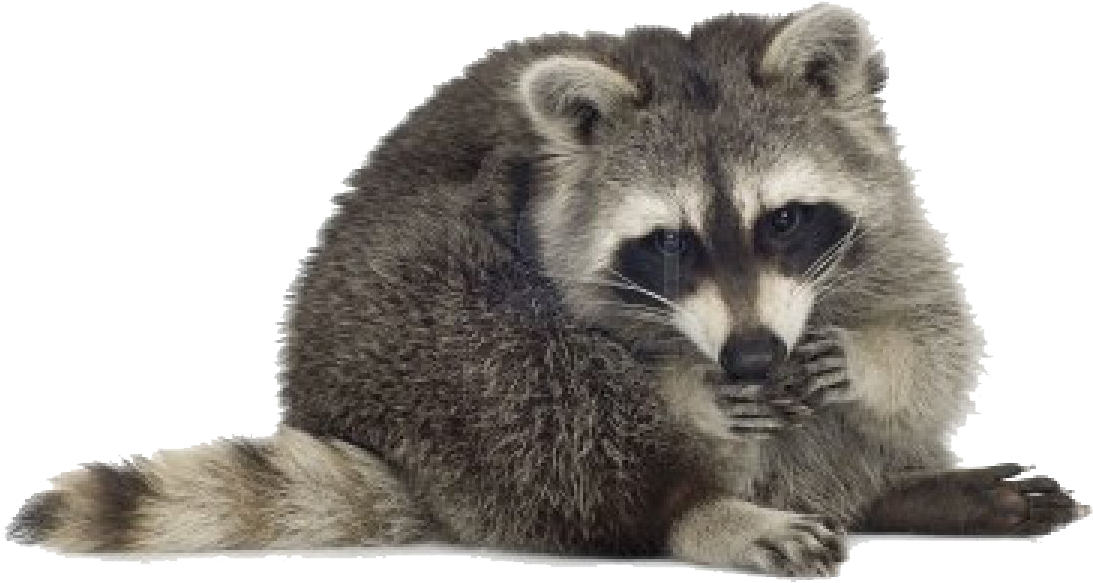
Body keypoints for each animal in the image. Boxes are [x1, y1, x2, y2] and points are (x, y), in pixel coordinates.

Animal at [7, 4, 1086, 575]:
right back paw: (693, 508)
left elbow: (936, 331)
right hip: (408, 380)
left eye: (783, 221)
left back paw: (892, 488)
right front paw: (688, 407)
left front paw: (865, 358)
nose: (748, 357)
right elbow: (545, 370)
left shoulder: (884, 218)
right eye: (669, 244)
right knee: (520, 383)